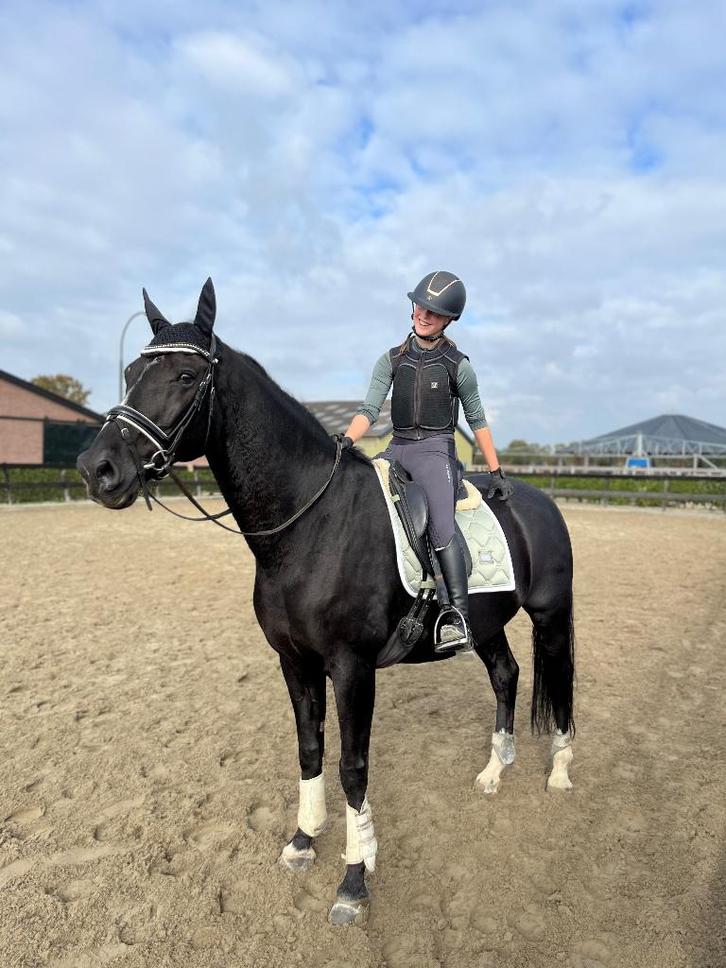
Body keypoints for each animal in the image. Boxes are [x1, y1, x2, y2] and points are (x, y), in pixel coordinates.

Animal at [77, 278, 576, 926]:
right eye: (133, 371)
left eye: (187, 376)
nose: (98, 469)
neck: (309, 523)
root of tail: (535, 499)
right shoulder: (295, 662)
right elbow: (310, 751)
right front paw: (302, 842)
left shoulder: (352, 668)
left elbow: (351, 767)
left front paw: (354, 880)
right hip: (485, 626)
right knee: (507, 675)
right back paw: (494, 771)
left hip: (553, 617)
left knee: (559, 684)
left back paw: (559, 772)